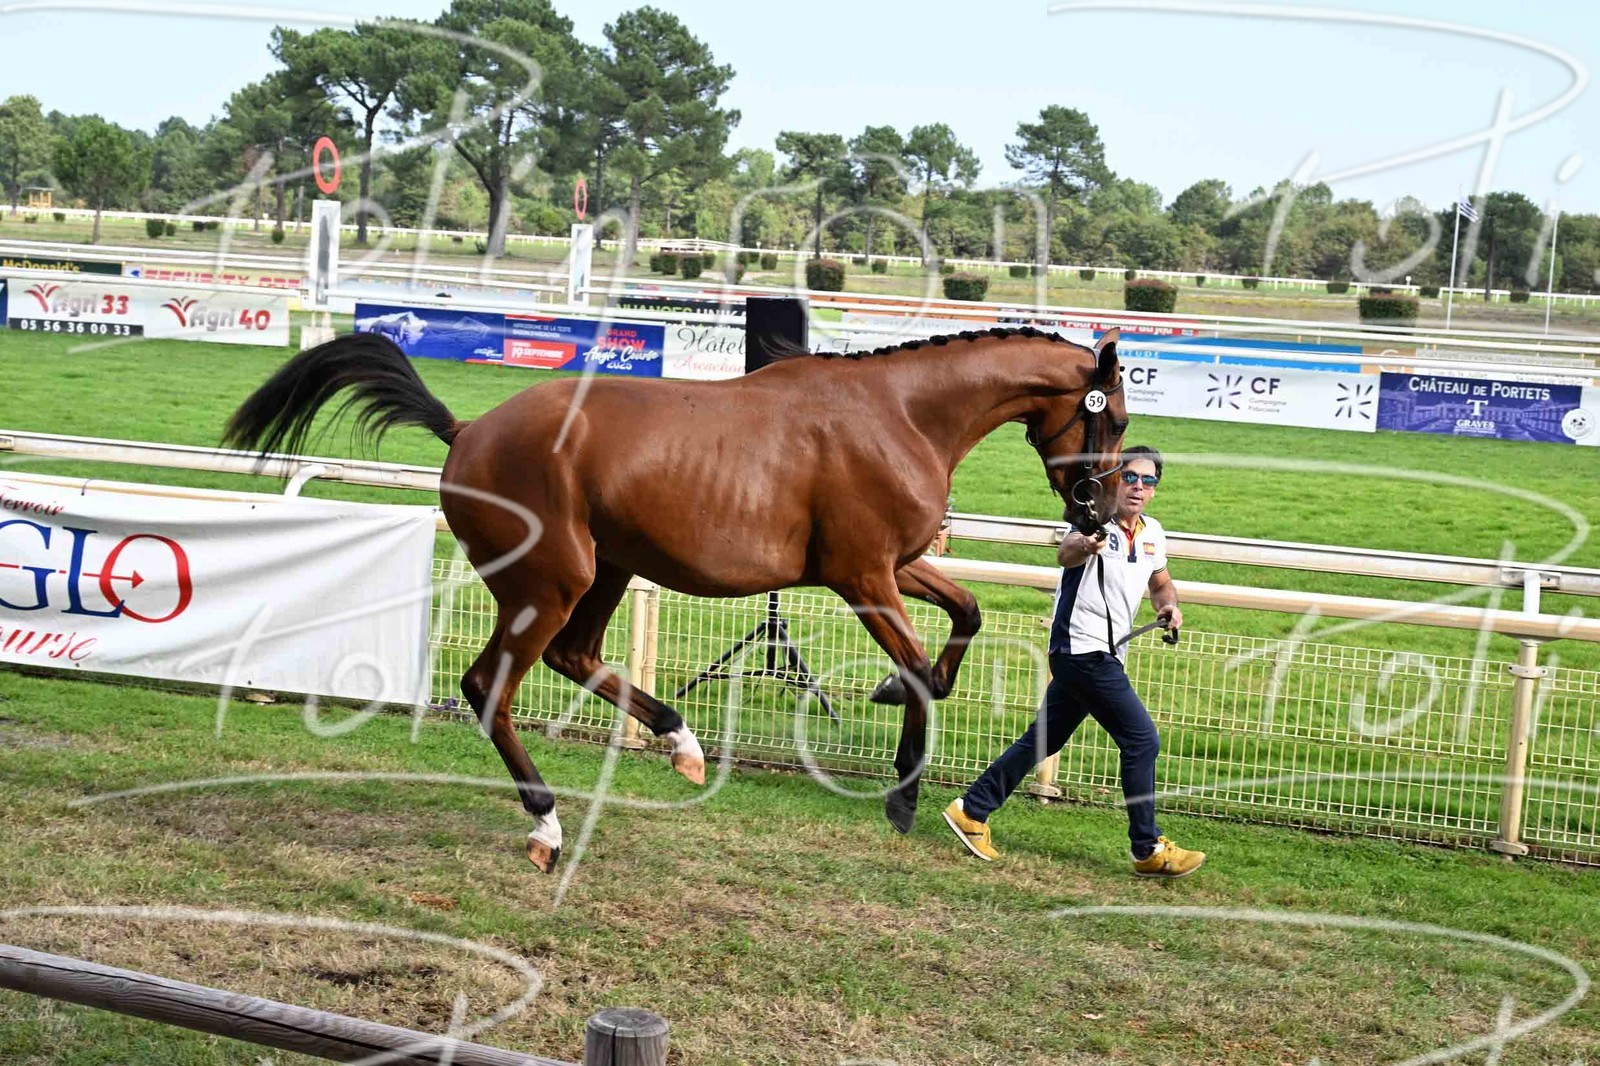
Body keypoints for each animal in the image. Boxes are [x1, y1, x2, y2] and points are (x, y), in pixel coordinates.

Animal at [224, 324, 1128, 872]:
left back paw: (682, 742)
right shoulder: (863, 575)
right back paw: (548, 822)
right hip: (553, 579)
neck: (899, 413)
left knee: (574, 655)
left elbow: (963, 618)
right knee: (490, 687)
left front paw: (888, 703)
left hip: (607, 569)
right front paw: (903, 793)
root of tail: (469, 431)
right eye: (1114, 419)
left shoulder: (895, 565)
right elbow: (917, 669)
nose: (1102, 515)